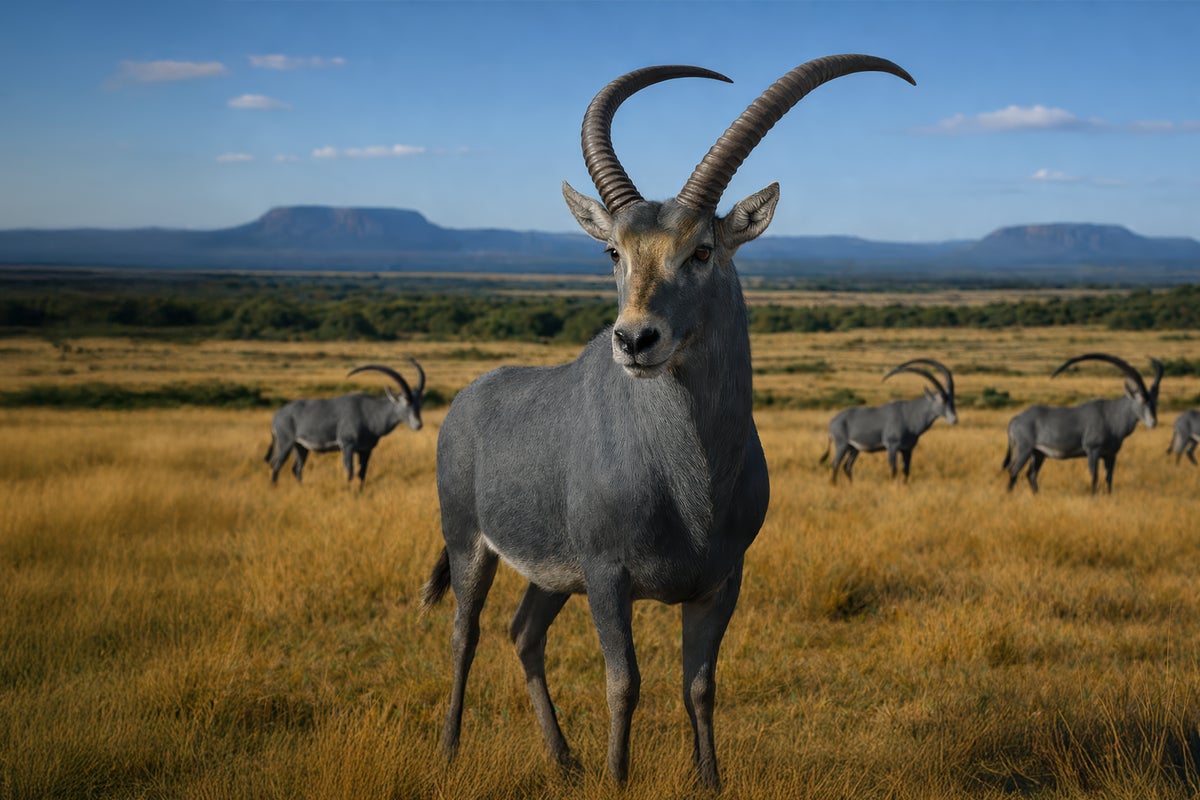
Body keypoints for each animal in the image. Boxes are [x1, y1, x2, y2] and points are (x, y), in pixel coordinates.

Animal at [264, 360, 424, 486]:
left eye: (419, 403)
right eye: (406, 401)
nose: (418, 425)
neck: (370, 413)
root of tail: (277, 415)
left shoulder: (366, 450)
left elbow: (362, 474)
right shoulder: (347, 445)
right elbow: (349, 472)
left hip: (301, 447)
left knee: (296, 468)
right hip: (285, 443)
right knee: (276, 464)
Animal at [420, 55, 914, 788]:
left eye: (702, 249)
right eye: (613, 252)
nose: (634, 340)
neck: (690, 480)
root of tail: (468, 400)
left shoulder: (720, 583)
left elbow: (699, 687)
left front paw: (709, 781)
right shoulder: (607, 578)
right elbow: (624, 683)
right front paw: (617, 779)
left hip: (550, 576)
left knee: (524, 633)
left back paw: (564, 760)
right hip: (469, 545)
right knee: (466, 631)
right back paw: (451, 752)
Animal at [820, 358, 957, 483]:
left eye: (952, 399)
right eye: (942, 399)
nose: (954, 420)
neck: (910, 414)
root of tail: (833, 421)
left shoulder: (907, 449)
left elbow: (906, 471)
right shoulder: (892, 446)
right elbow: (893, 470)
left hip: (853, 449)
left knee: (846, 466)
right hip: (841, 445)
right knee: (835, 465)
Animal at [1003, 353, 1162, 494]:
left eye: (1155, 401)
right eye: (1142, 399)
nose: (1153, 422)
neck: (1111, 415)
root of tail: (1016, 419)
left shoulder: (1111, 455)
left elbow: (1109, 478)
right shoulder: (1092, 450)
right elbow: (1094, 476)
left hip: (1038, 454)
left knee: (1030, 474)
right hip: (1024, 450)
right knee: (1013, 470)